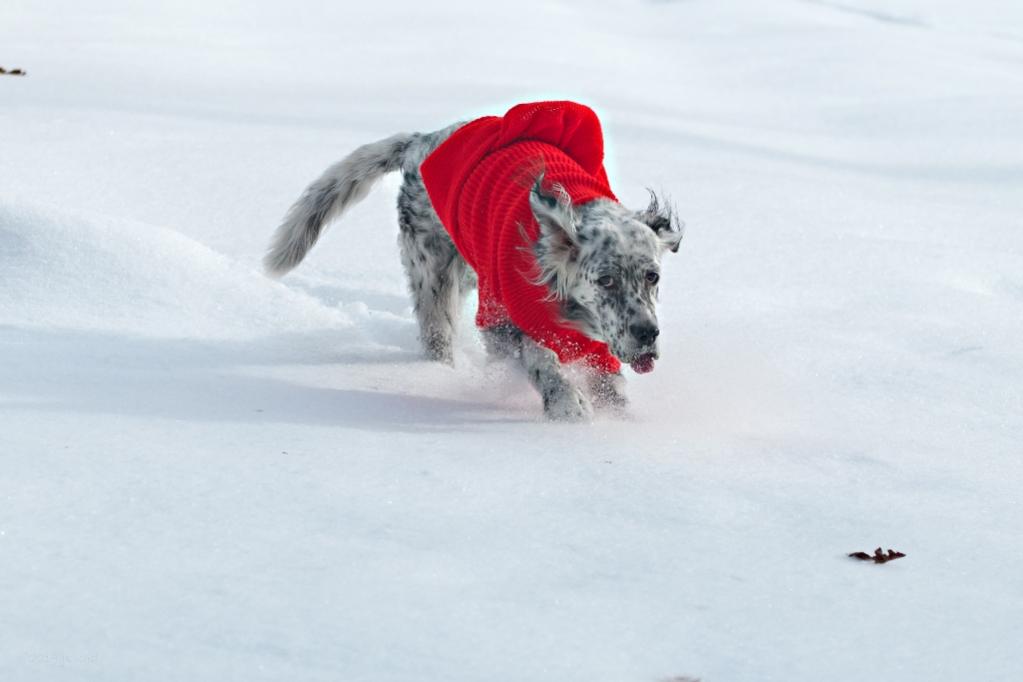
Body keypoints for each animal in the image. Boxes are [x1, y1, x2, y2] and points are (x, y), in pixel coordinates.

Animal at [263, 101, 683, 421]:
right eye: (606, 280)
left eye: (652, 276)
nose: (648, 334)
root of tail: (422, 142)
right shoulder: (500, 322)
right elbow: (540, 360)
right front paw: (567, 404)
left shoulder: (599, 343)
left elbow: (609, 381)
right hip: (433, 273)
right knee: (436, 332)